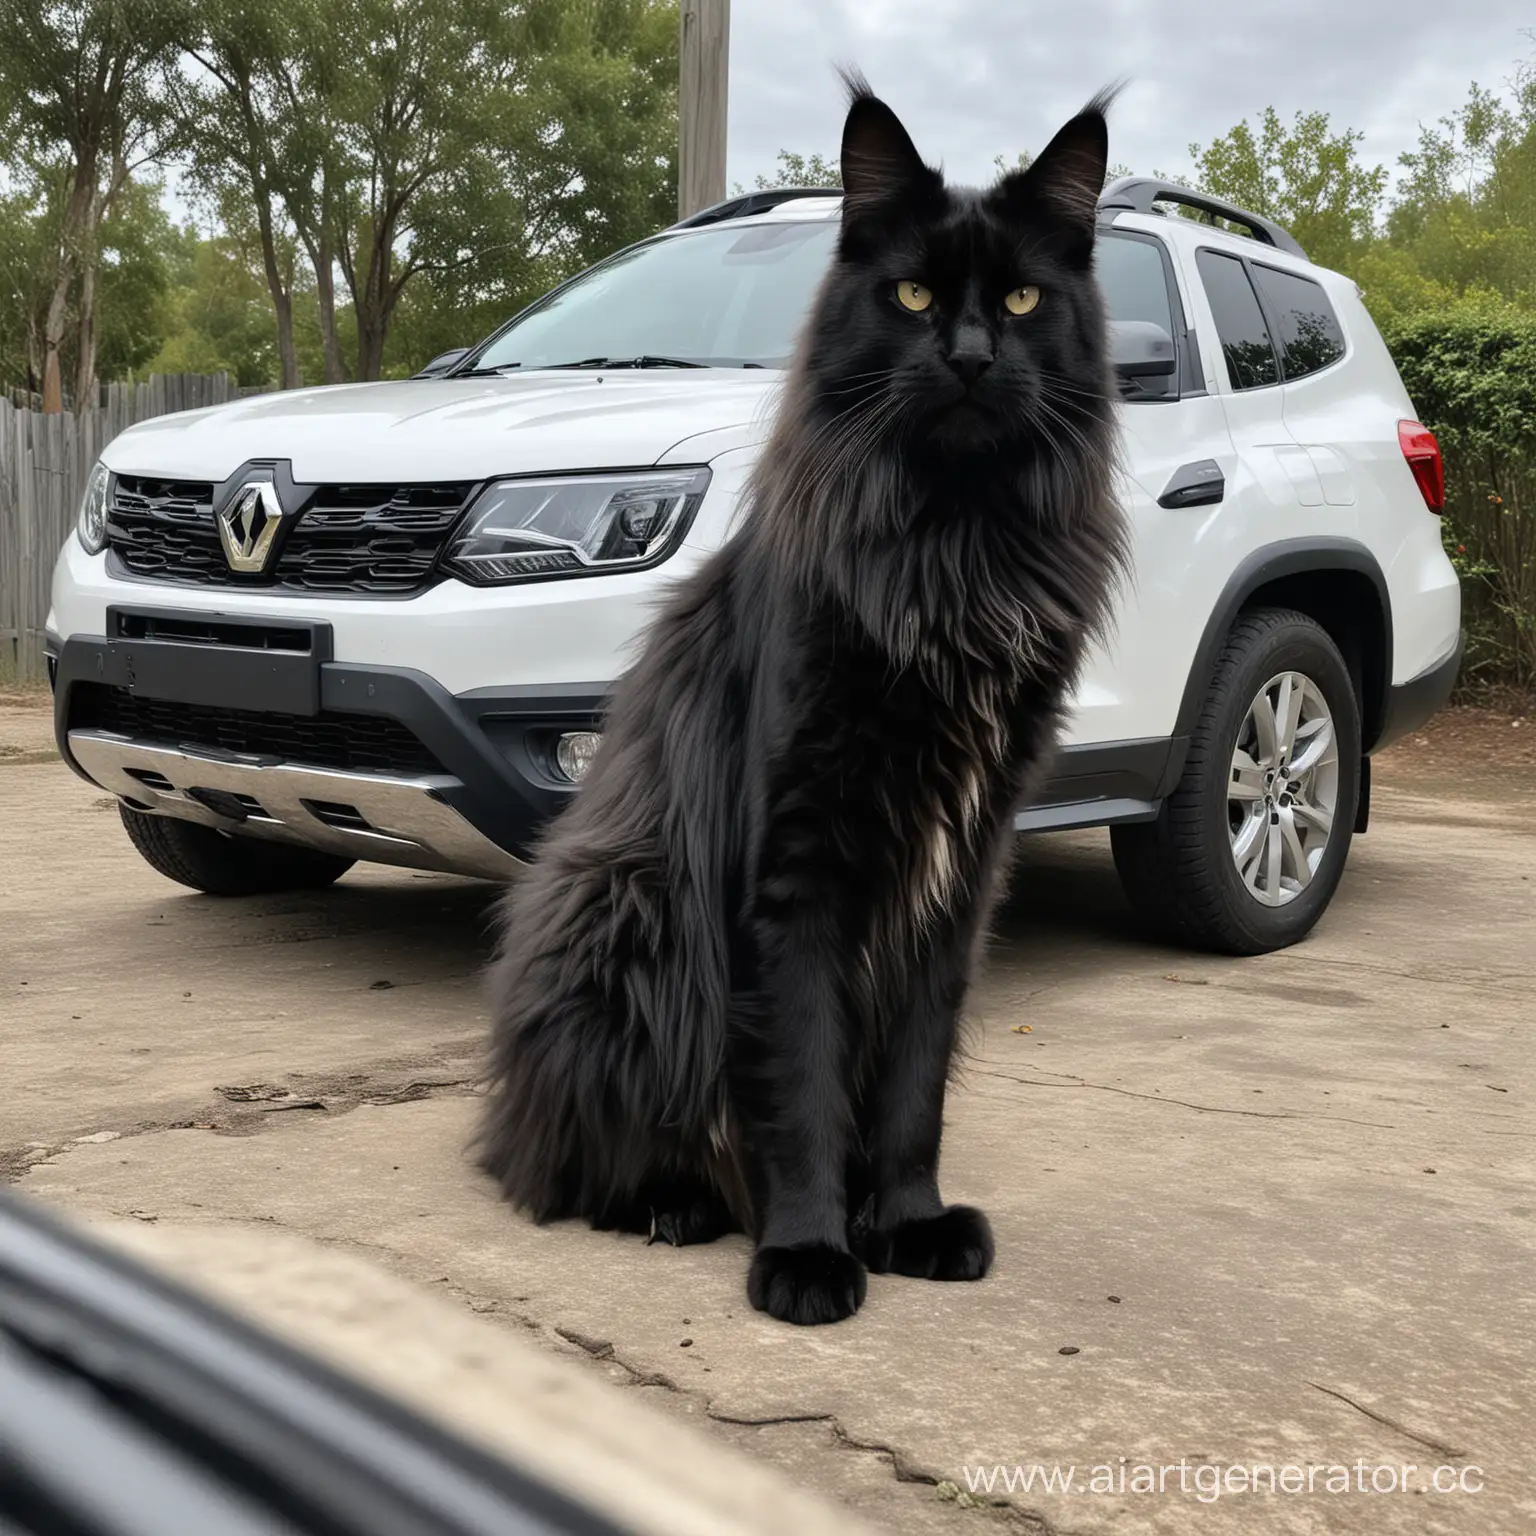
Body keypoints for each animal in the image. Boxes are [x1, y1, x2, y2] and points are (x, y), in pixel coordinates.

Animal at [479, 74, 1130, 1320]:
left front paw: (909, 1223)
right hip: (638, 918)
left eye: (1022, 298)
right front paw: (809, 1253)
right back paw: (676, 1205)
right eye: (913, 293)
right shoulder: (796, 864)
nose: (970, 357)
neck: (951, 545)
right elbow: (806, 1087)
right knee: (573, 1164)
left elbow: (913, 1085)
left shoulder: (962, 872)